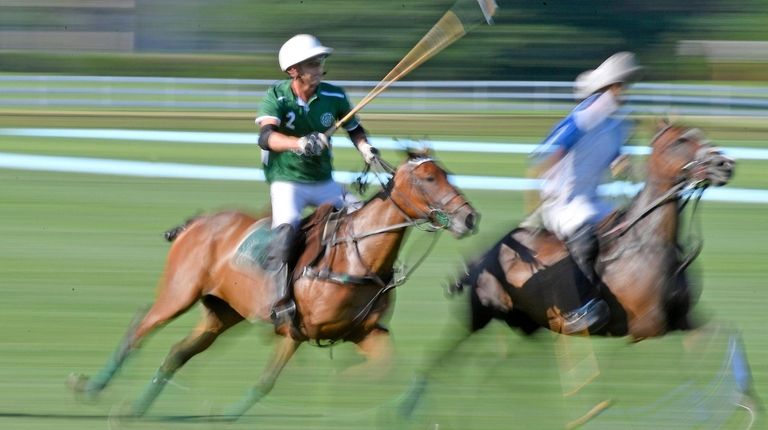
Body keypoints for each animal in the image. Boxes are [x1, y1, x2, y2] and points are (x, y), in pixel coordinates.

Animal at [67, 150, 474, 416]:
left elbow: (398, 375)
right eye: (427, 178)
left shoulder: (367, 333)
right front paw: (224, 414)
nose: (470, 218)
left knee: (177, 352)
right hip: (178, 293)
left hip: (222, 312)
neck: (357, 256)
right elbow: (266, 381)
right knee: (140, 328)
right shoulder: (295, 331)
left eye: (447, 174)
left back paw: (134, 408)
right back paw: (90, 386)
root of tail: (198, 222)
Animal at [400, 122, 736, 418]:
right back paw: (416, 401)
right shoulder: (647, 328)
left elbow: (720, 341)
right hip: (482, 314)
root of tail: (488, 251)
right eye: (681, 140)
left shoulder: (685, 321)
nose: (726, 164)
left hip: (527, 322)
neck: (649, 243)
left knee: (503, 363)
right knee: (444, 355)